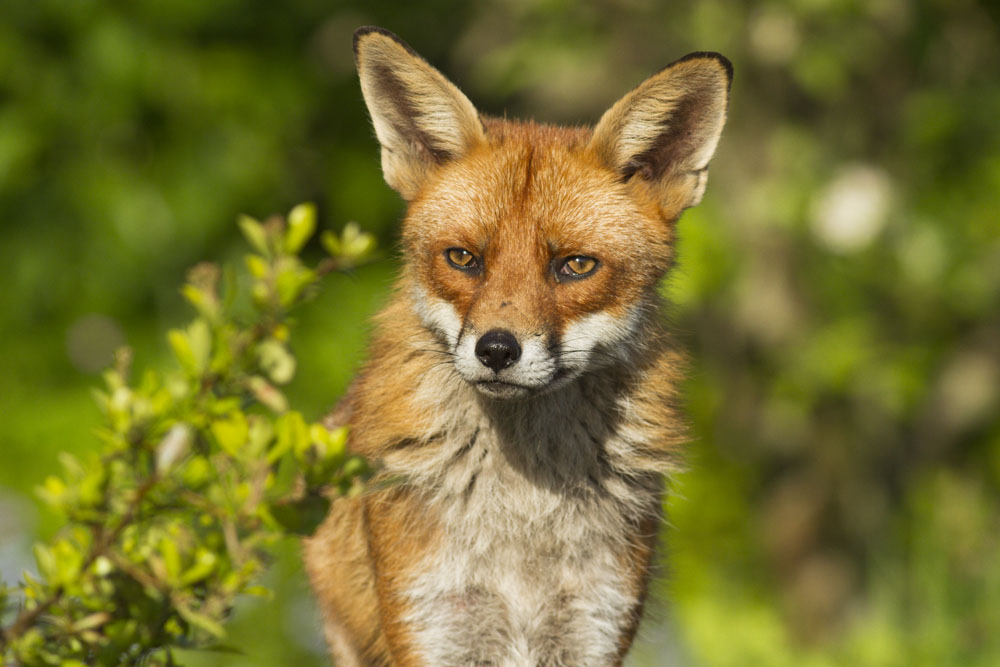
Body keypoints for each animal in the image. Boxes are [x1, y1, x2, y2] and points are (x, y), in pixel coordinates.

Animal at [303, 26, 732, 667]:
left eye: (575, 266)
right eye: (463, 258)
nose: (497, 351)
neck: (525, 514)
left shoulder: (592, 627)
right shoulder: (432, 623)